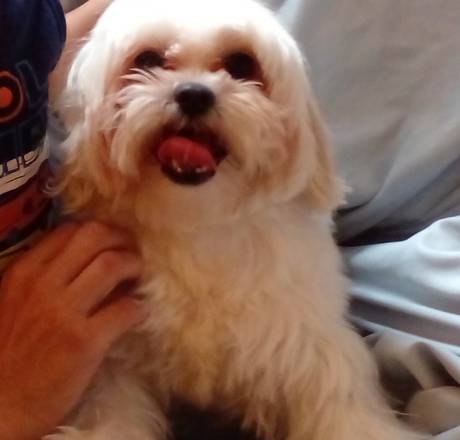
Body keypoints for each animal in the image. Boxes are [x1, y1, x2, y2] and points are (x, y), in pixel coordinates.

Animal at [48, 0, 421, 438]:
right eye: (148, 59)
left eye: (242, 64)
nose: (193, 94)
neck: (199, 224)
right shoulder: (115, 364)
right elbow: (112, 415)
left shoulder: (308, 346)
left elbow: (340, 408)